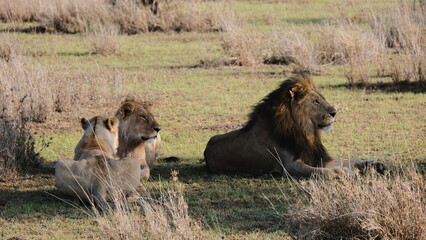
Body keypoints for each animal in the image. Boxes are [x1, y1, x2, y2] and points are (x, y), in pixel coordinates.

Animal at [203, 75, 386, 178]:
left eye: (322, 98)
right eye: (316, 101)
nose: (334, 113)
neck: (304, 130)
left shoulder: (317, 156)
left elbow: (347, 160)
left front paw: (374, 164)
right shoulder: (288, 166)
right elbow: (318, 171)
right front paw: (340, 172)